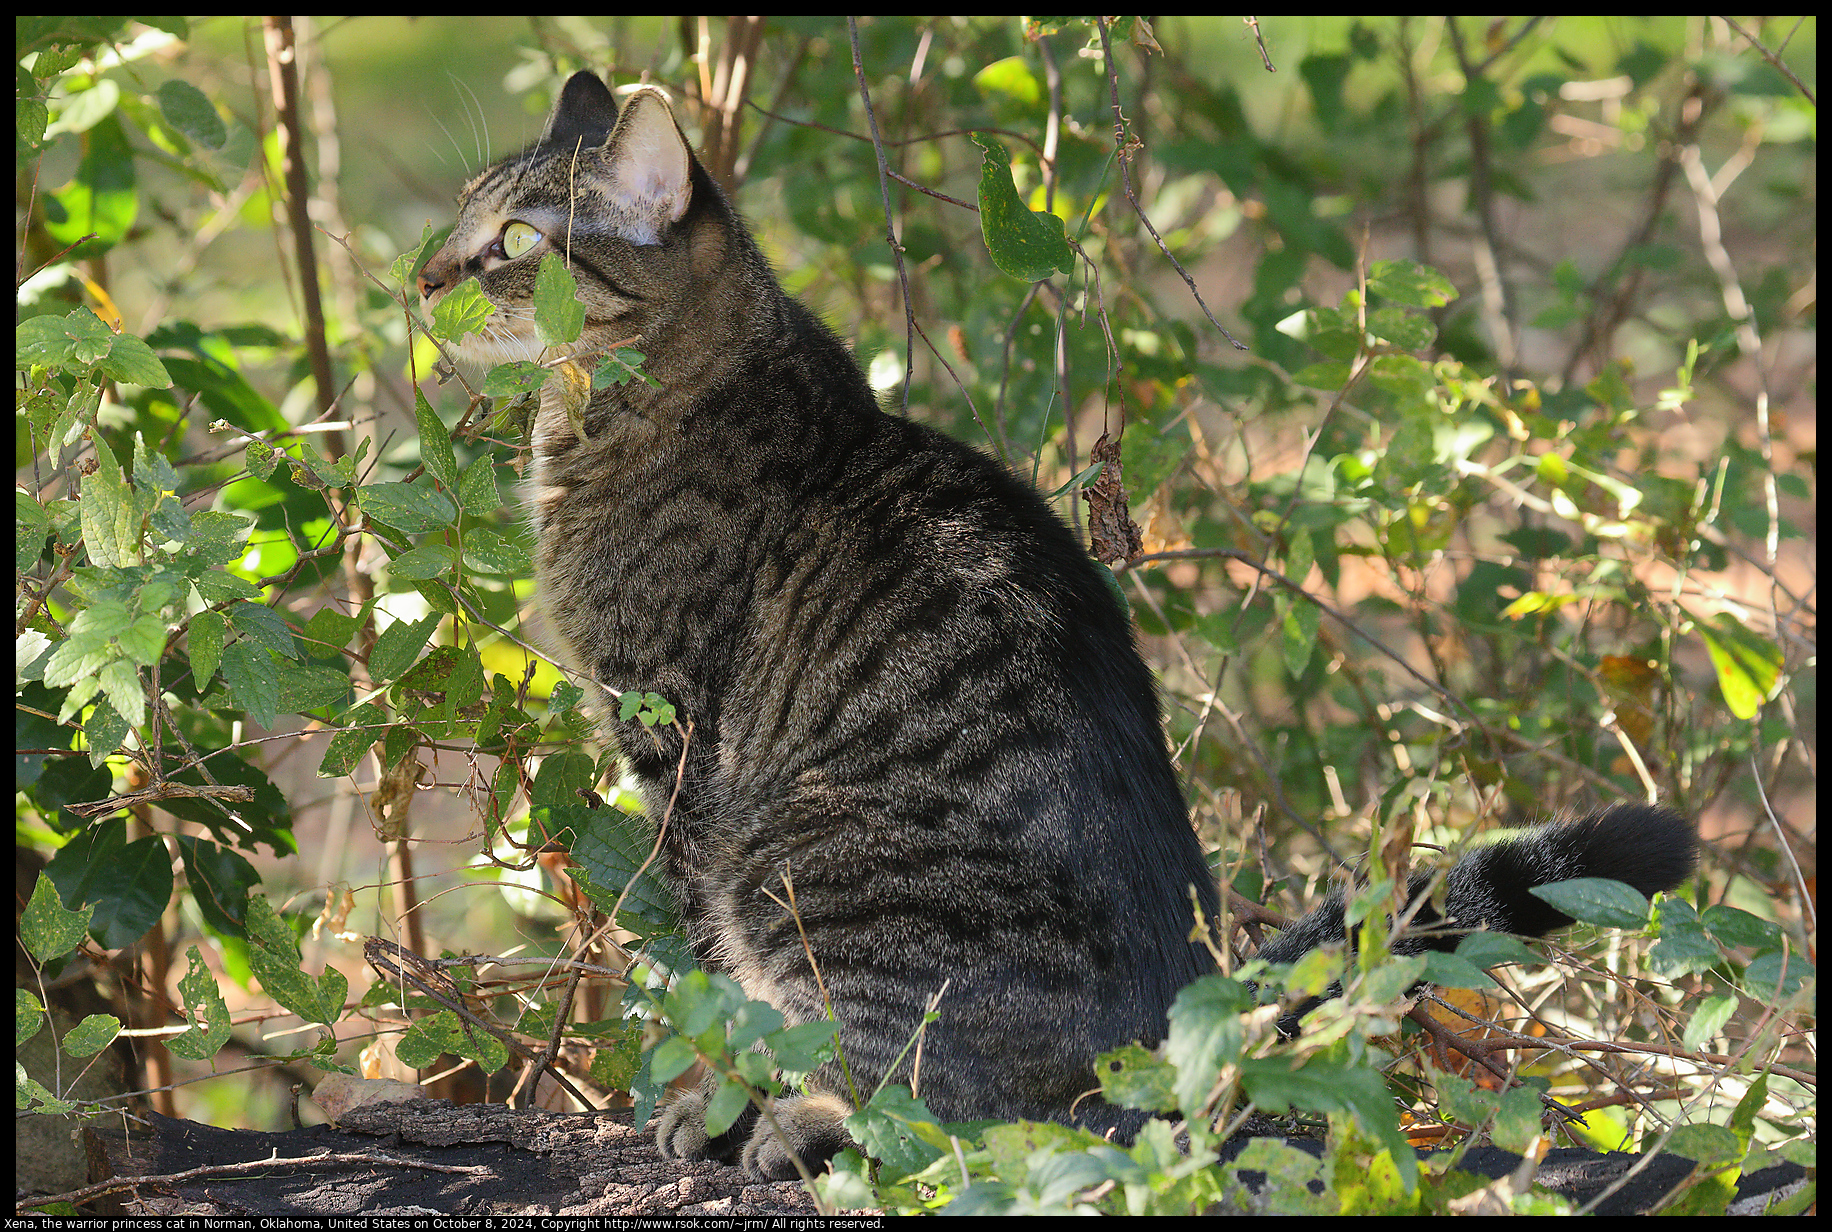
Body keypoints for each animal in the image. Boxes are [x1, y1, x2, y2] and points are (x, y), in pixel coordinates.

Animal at [415, 69, 1700, 1180]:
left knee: (947, 1108)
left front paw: (715, 1091)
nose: (419, 280)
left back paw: (802, 1119)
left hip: (794, 856)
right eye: (459, 214)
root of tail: (1152, 1041)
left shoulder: (673, 730)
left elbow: (711, 975)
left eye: (514, 241)